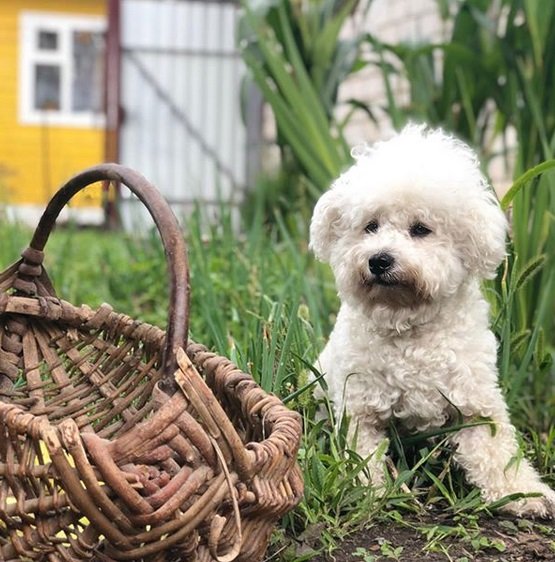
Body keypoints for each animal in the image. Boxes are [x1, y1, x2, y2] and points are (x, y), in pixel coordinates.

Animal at [310, 126, 552, 516]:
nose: (379, 260)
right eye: (370, 226)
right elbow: (363, 456)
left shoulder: (476, 405)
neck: (409, 327)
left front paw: (524, 492)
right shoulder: (359, 409)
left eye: (421, 229)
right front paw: (371, 494)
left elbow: (497, 454)